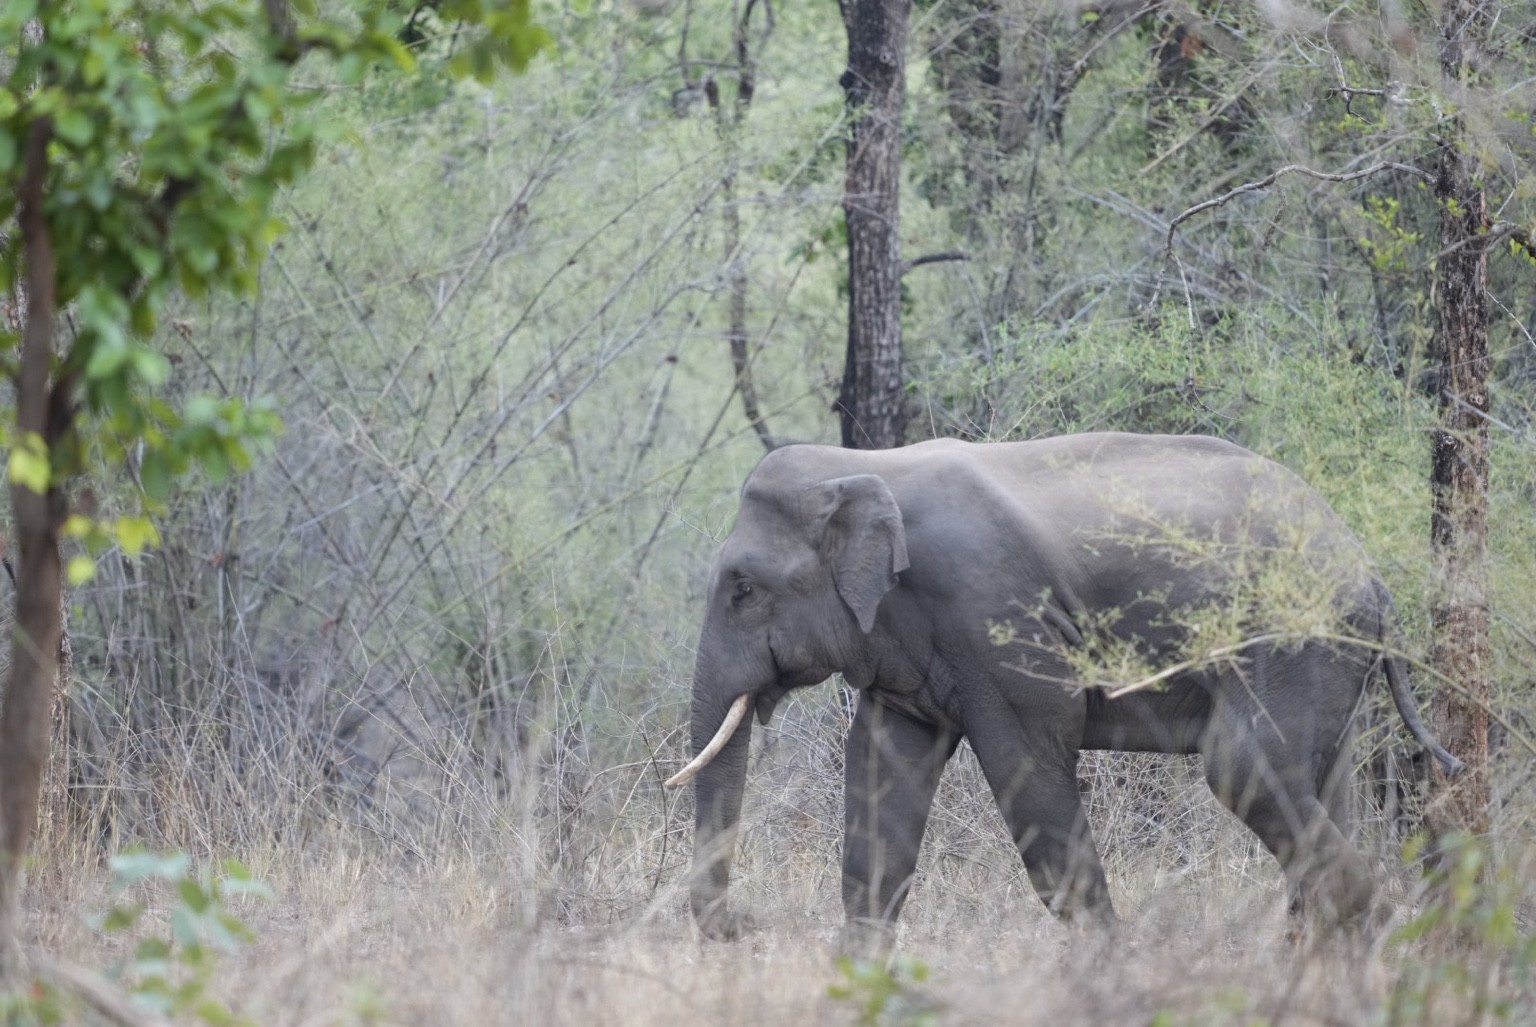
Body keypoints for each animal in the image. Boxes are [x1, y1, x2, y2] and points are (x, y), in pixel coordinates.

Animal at [666, 433, 1462, 951]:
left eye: (742, 589)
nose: (743, 928)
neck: (863, 466)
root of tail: (1373, 576)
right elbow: (883, 780)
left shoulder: (991, 621)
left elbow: (1031, 768)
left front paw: (1110, 966)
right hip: (1331, 664)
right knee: (1322, 791)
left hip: (1292, 641)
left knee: (1243, 768)